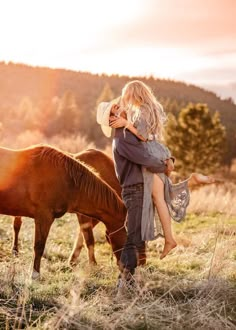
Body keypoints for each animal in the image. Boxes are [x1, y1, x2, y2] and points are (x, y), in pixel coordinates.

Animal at [12, 150, 147, 268]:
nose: (142, 262)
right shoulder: (85, 213)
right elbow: (89, 238)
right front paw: (92, 264)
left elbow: (83, 234)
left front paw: (73, 260)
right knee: (17, 224)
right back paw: (15, 250)